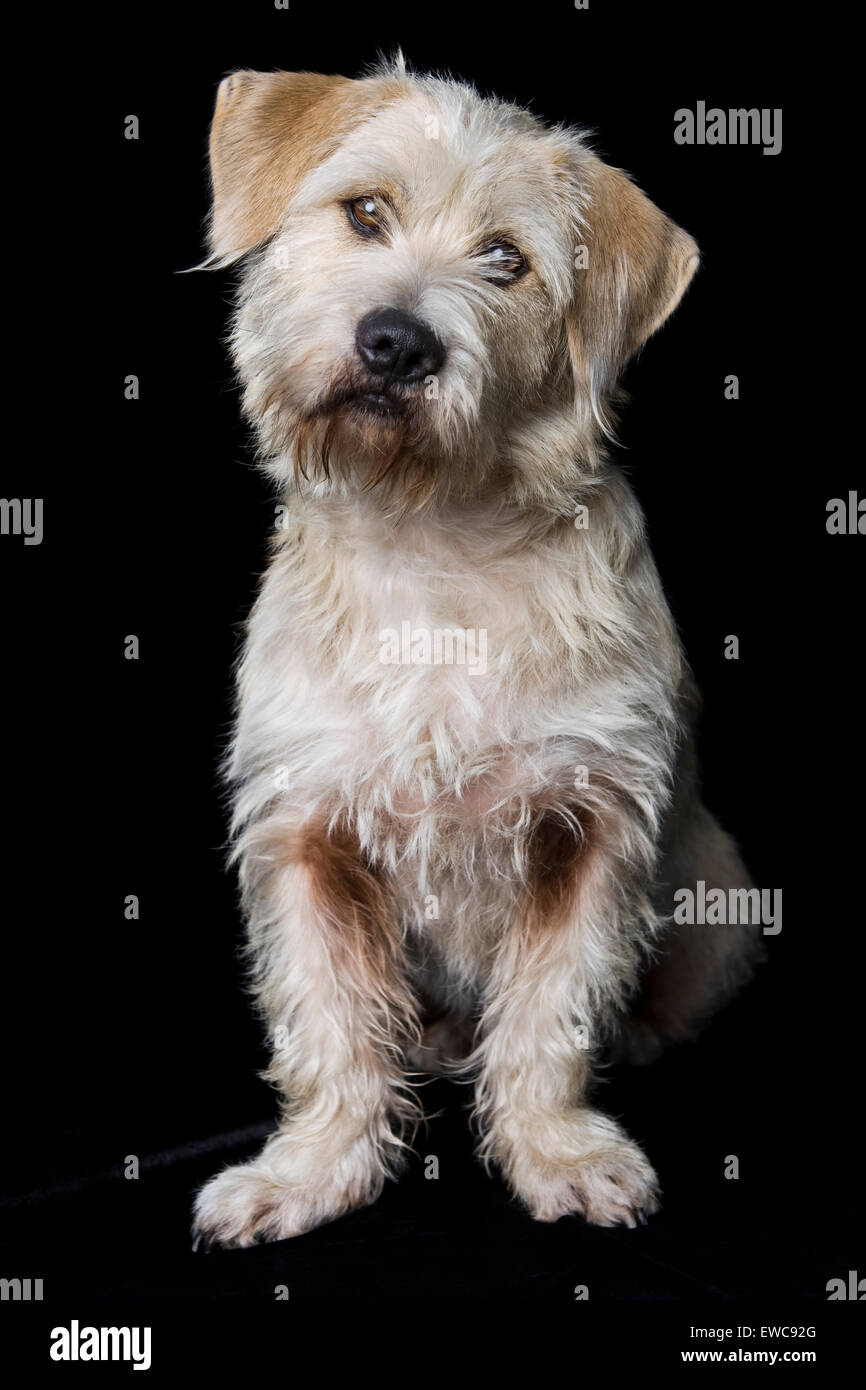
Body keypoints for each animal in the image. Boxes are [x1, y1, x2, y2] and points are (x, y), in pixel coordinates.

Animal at [193, 56, 761, 1251]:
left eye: (506, 259)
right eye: (366, 212)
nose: (397, 342)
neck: (433, 544)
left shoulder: (590, 827)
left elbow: (551, 1012)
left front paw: (556, 1152)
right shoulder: (305, 835)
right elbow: (325, 1027)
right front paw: (311, 1171)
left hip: (716, 895)